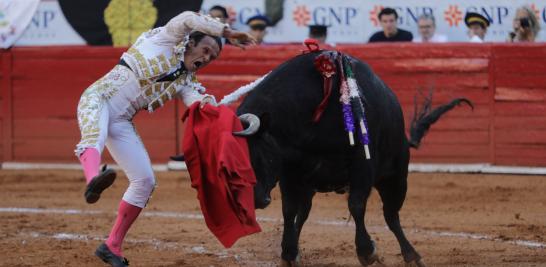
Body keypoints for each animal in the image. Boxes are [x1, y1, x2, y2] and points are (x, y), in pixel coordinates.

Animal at [233, 51, 468, 266]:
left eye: (253, 153)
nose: (254, 200)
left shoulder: (362, 164)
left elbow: (356, 205)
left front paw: (367, 251)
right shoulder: (290, 172)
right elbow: (289, 210)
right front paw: (289, 254)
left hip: (396, 176)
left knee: (391, 215)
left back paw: (412, 256)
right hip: (310, 186)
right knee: (303, 214)